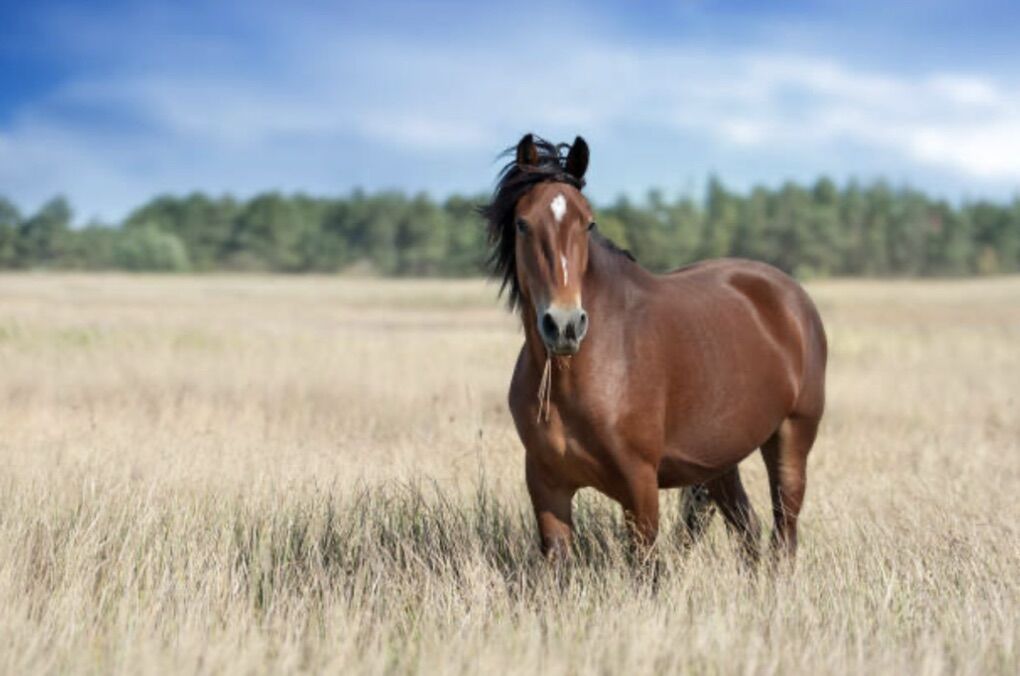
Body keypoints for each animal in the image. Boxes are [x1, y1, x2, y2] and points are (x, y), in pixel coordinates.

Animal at [481, 134, 828, 563]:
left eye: (588, 222)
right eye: (523, 223)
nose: (564, 325)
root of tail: (793, 297)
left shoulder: (639, 485)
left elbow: (646, 567)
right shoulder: (547, 486)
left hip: (792, 438)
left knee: (784, 534)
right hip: (721, 461)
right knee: (748, 530)